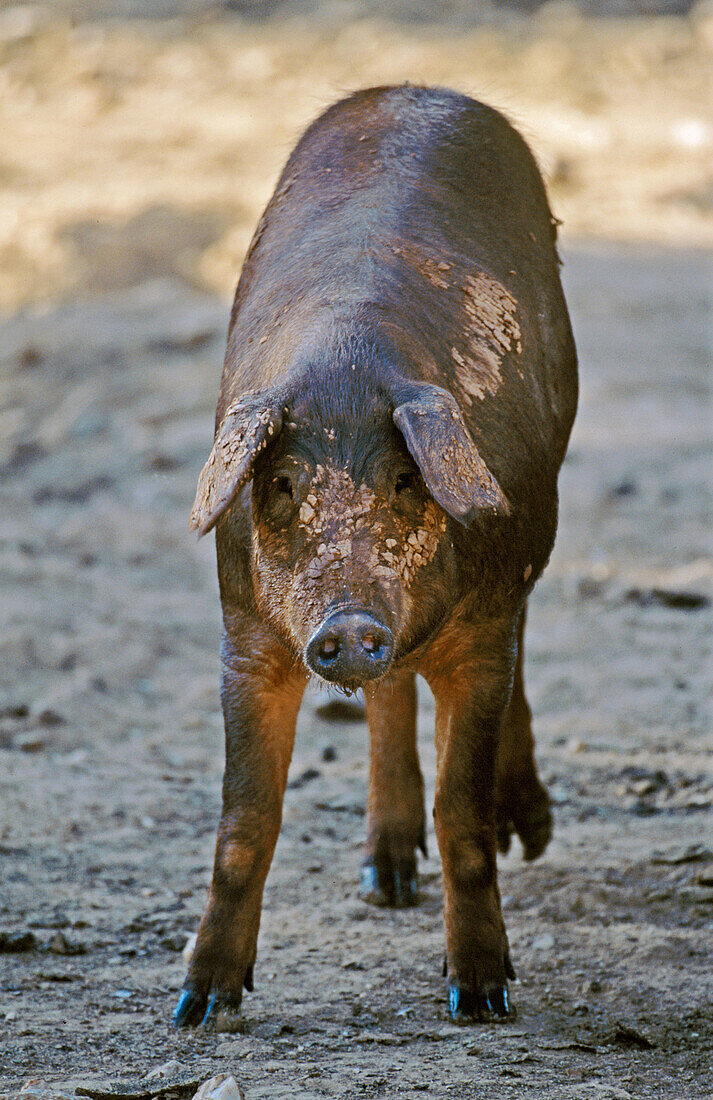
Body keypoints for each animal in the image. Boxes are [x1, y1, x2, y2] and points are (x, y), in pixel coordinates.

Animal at [173, 85, 580, 1029]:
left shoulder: (482, 629)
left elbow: (462, 815)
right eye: (283, 484)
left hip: (531, 533)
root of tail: (417, 89)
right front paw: (198, 1009)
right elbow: (245, 821)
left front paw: (481, 1000)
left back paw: (525, 833)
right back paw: (384, 879)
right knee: (390, 698)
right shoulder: (246, 633)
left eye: (403, 478)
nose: (351, 622)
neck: (346, 371)